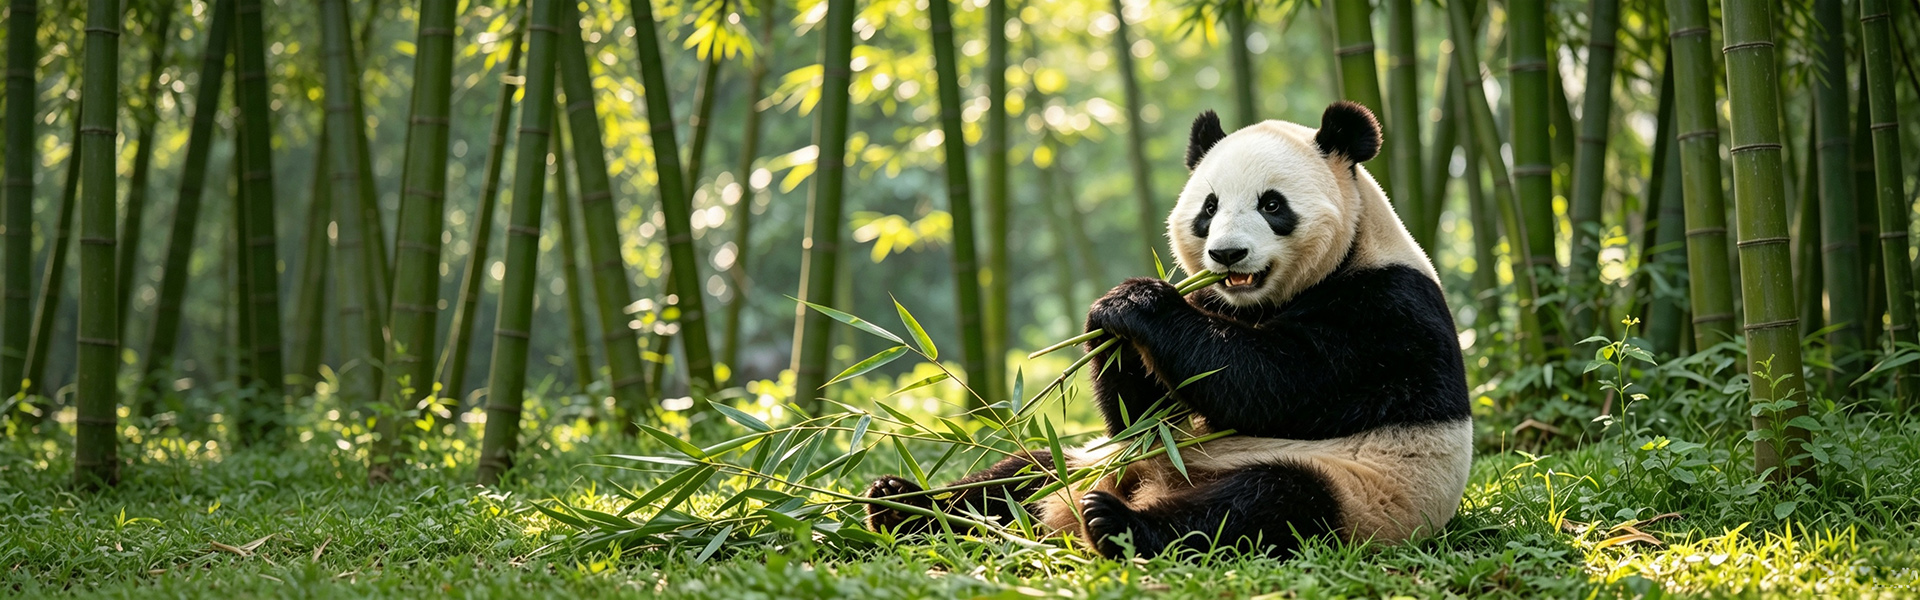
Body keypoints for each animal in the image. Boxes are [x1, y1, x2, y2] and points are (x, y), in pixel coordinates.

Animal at [863, 101, 1472, 559]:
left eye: (1272, 204)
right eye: (1209, 207)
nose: (1226, 254)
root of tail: (1149, 483)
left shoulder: (1385, 312)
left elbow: (1276, 383)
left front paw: (1137, 302)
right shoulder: (1211, 301)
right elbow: (1147, 413)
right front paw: (1107, 323)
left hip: (1358, 490)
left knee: (1264, 505)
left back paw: (1115, 525)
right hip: (1094, 457)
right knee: (1018, 477)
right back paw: (899, 504)